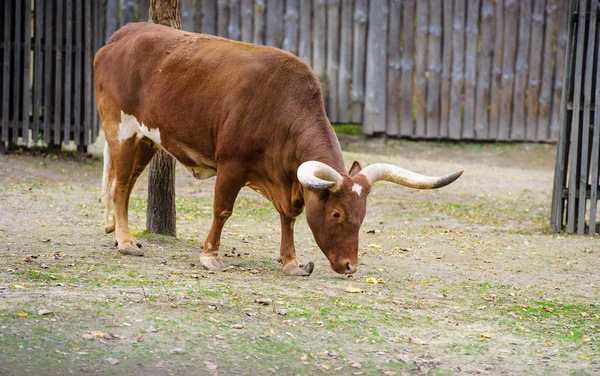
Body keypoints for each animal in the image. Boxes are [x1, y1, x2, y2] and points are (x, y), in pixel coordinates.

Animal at [94, 23, 462, 276]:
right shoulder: (232, 165)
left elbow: (289, 218)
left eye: (363, 215)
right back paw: (125, 242)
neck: (282, 108)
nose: (350, 267)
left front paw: (291, 262)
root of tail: (119, 37)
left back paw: (119, 234)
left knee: (123, 184)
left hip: (146, 140)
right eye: (336, 214)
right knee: (121, 186)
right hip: (122, 131)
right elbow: (223, 210)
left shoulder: (288, 180)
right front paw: (210, 256)